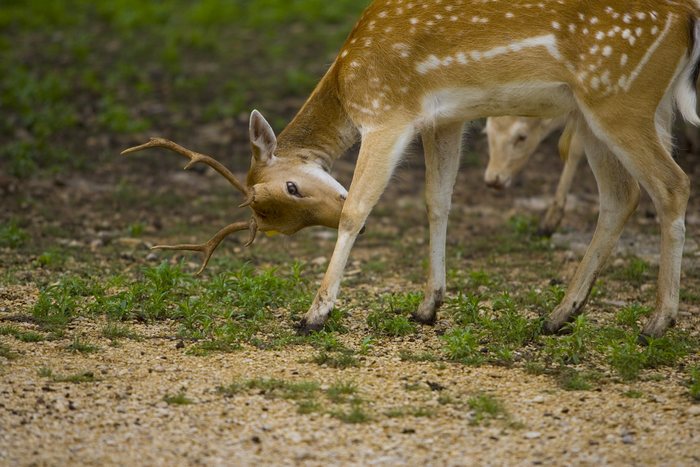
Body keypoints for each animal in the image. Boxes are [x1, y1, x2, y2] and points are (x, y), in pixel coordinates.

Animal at [123, 1, 700, 342]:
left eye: (291, 186)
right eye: (281, 224)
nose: (324, 216)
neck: (348, 76)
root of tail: (686, 18)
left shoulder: (387, 112)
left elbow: (360, 207)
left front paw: (314, 314)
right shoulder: (443, 120)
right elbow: (436, 201)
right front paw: (428, 307)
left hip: (619, 96)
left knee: (672, 184)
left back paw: (657, 322)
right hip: (613, 108)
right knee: (622, 196)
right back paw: (561, 314)